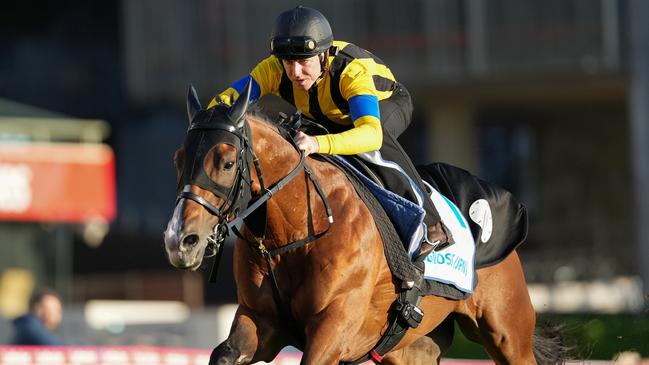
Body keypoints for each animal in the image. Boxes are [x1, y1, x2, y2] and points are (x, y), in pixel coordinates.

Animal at [165, 82, 564, 364]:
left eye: (227, 162)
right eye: (178, 159)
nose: (179, 240)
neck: (296, 232)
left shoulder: (333, 327)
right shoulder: (260, 322)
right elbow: (225, 353)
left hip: (507, 333)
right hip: (411, 349)